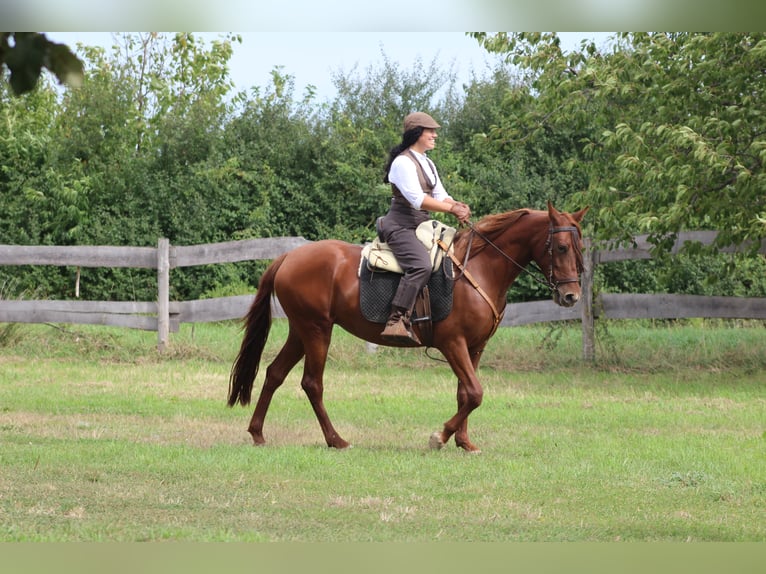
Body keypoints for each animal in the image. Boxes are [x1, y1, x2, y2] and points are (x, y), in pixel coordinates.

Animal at [228, 202, 588, 454]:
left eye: (580, 248)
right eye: (560, 247)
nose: (571, 296)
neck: (479, 268)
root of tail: (287, 258)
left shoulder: (475, 348)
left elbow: (465, 393)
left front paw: (464, 442)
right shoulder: (453, 343)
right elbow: (475, 392)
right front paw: (439, 437)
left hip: (301, 331)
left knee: (275, 373)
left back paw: (257, 433)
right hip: (317, 330)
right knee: (312, 384)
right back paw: (336, 440)